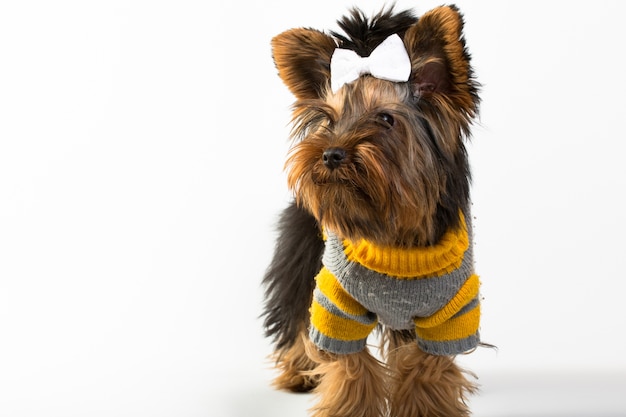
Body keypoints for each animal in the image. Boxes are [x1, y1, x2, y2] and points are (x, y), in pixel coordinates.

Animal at [260, 4, 480, 416]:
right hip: (303, 252)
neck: (393, 234)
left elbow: (426, 365)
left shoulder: (451, 312)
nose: (331, 153)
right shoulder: (336, 304)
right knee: (296, 311)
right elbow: (349, 363)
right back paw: (299, 372)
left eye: (385, 119)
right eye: (330, 120)